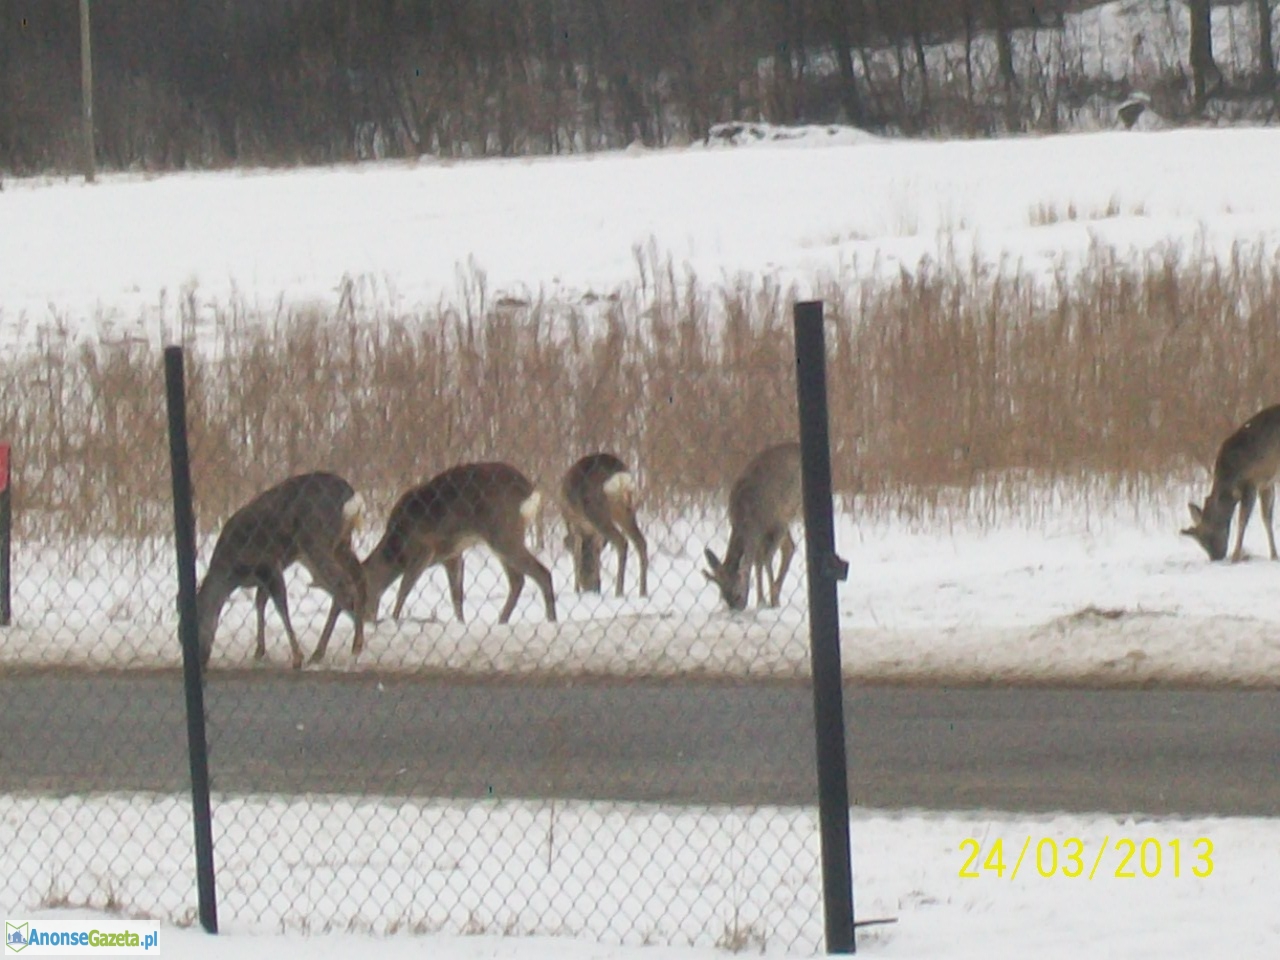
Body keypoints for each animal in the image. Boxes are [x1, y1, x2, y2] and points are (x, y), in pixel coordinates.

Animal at [194, 471, 368, 670]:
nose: (200, 660)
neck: (231, 571)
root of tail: (350, 495)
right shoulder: (262, 578)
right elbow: (260, 602)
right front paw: (259, 651)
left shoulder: (269, 564)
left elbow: (280, 605)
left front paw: (297, 657)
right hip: (340, 543)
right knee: (357, 577)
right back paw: (339, 649)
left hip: (316, 540)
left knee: (342, 586)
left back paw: (341, 649)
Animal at [363, 463, 558, 627]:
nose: (365, 620)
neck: (396, 550)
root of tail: (528, 490)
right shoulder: (452, 555)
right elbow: (456, 594)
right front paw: (461, 624)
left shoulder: (424, 549)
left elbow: (404, 589)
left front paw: (394, 620)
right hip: (505, 538)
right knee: (518, 580)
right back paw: (502, 621)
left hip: (503, 534)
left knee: (541, 573)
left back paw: (551, 620)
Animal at [563, 453, 650, 601]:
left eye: (588, 570)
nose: (589, 588)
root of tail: (619, 477)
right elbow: (596, 551)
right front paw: (597, 587)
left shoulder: (574, 522)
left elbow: (577, 553)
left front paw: (576, 590)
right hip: (626, 509)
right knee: (641, 542)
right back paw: (643, 592)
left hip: (597, 512)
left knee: (622, 542)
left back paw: (619, 591)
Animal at [701, 442, 798, 611]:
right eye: (723, 596)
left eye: (737, 594)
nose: (736, 608)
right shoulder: (758, 533)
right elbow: (757, 560)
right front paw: (761, 600)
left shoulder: (777, 522)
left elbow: (765, 558)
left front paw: (771, 601)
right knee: (789, 547)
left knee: (787, 548)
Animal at [1177, 404, 1280, 563]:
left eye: (1206, 537)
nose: (1216, 557)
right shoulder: (1266, 483)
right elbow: (1267, 518)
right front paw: (1274, 555)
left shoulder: (1251, 482)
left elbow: (1242, 520)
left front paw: (1236, 556)